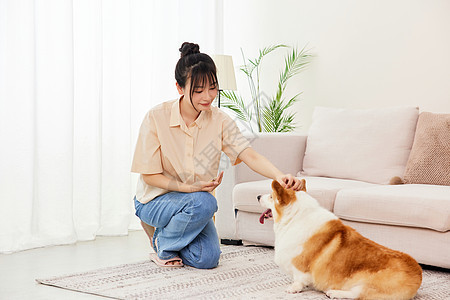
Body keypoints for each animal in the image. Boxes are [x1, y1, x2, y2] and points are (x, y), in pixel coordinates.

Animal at [256, 179, 422, 298]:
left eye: (271, 196)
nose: (257, 196)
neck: (296, 217)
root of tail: (418, 275)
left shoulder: (300, 266)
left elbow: (299, 279)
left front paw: (293, 289)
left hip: (366, 283)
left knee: (356, 295)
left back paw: (333, 292)